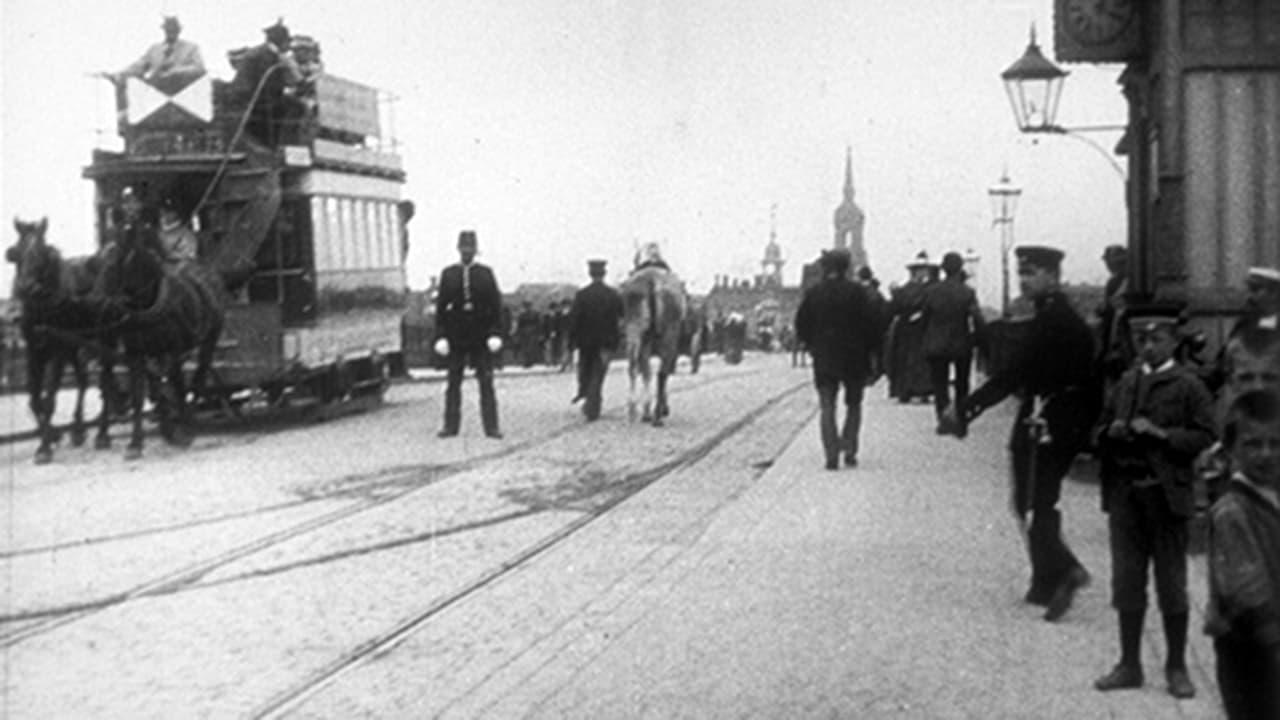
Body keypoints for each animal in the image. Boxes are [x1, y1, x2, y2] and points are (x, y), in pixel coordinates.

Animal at [5, 215, 113, 461]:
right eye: (17, 253)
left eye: (41, 252)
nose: (26, 288)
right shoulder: (34, 351)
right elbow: (35, 398)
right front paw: (52, 435)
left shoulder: (58, 350)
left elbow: (49, 398)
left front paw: (44, 447)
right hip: (77, 345)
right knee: (83, 380)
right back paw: (78, 429)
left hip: (103, 340)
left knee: (105, 380)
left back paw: (102, 433)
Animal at [92, 221, 227, 458]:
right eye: (96, 262)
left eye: (117, 262)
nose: (97, 304)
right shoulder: (136, 354)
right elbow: (139, 395)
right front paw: (136, 444)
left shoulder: (172, 350)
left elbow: (178, 385)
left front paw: (184, 432)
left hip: (209, 339)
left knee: (198, 378)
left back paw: (186, 420)